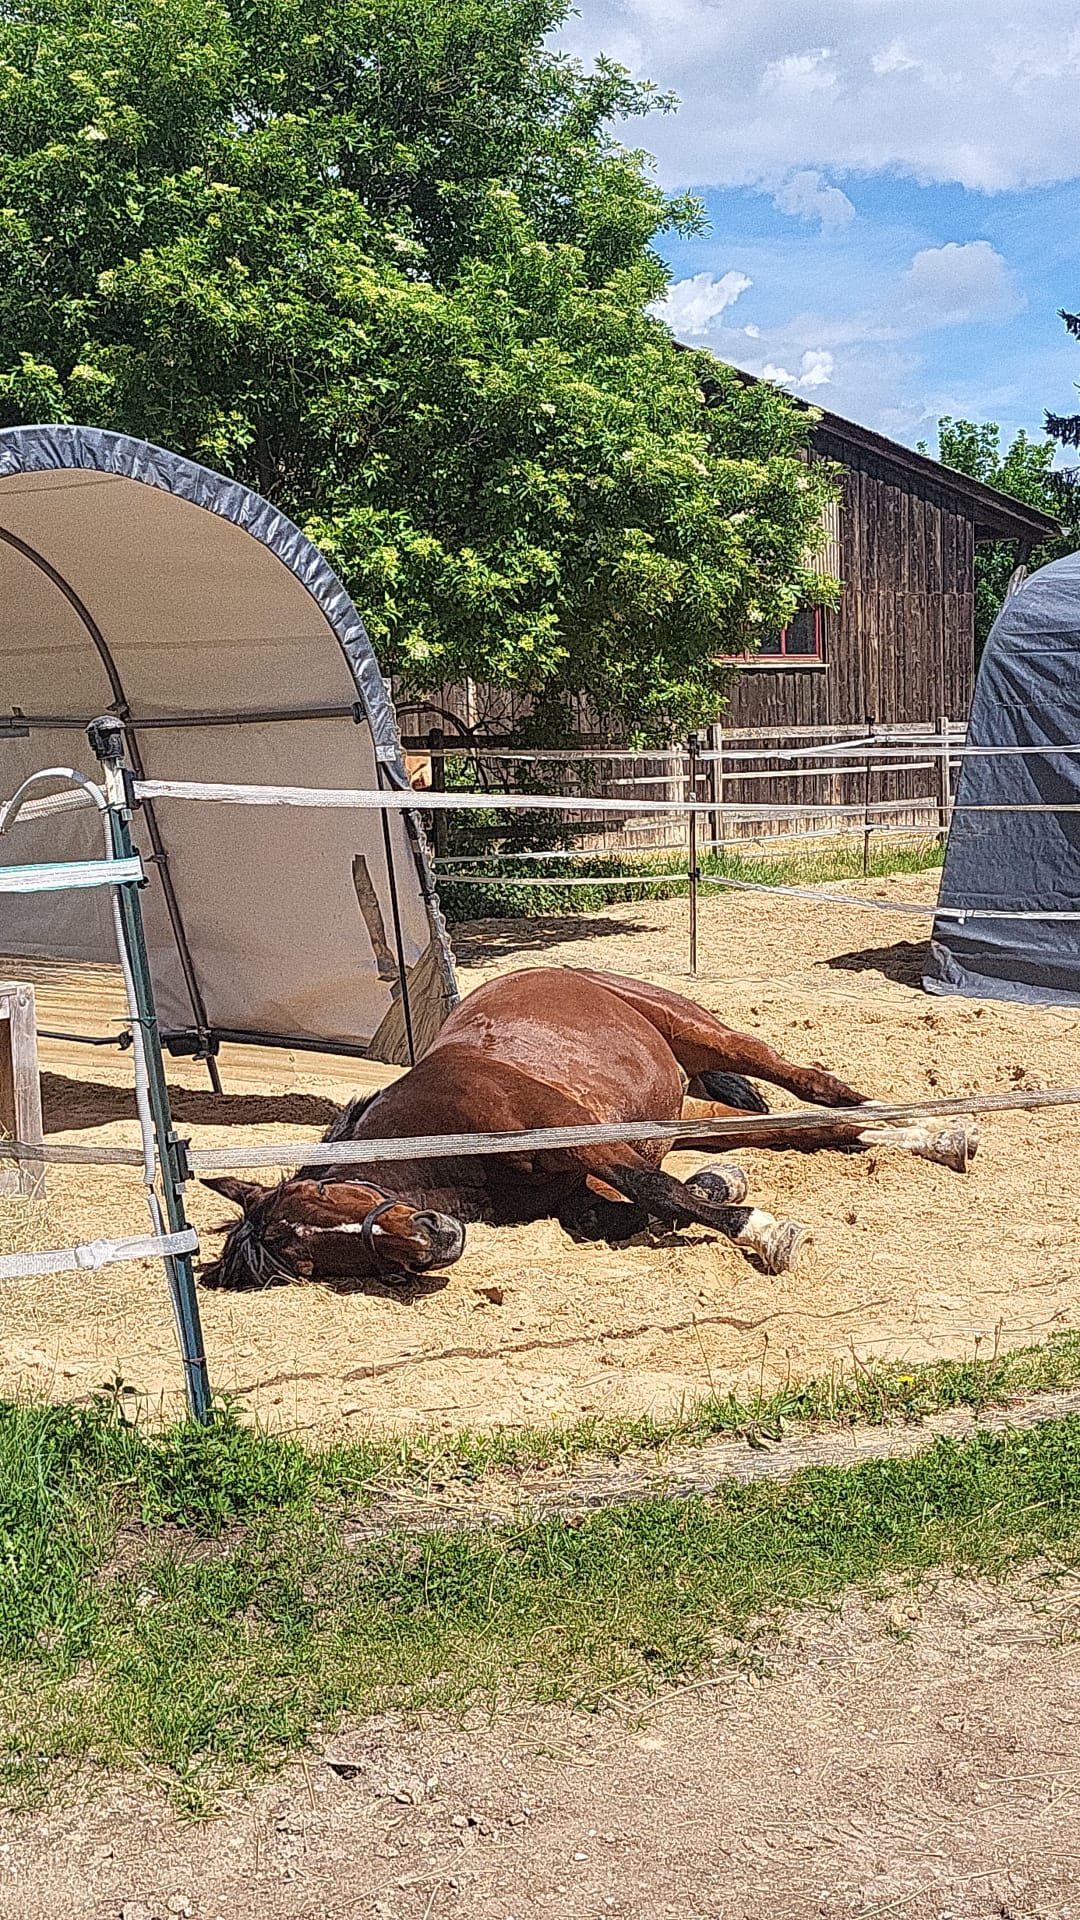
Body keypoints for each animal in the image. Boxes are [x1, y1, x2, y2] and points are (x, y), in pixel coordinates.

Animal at [201, 966, 977, 1288]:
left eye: (326, 1198)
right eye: (309, 1261)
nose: (434, 1239)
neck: (445, 1135)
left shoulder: (578, 1138)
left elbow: (657, 1191)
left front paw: (765, 1232)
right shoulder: (591, 1175)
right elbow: (638, 1207)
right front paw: (723, 1191)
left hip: (704, 1038)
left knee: (815, 1086)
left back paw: (940, 1130)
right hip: (683, 1110)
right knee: (803, 1125)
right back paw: (934, 1139)